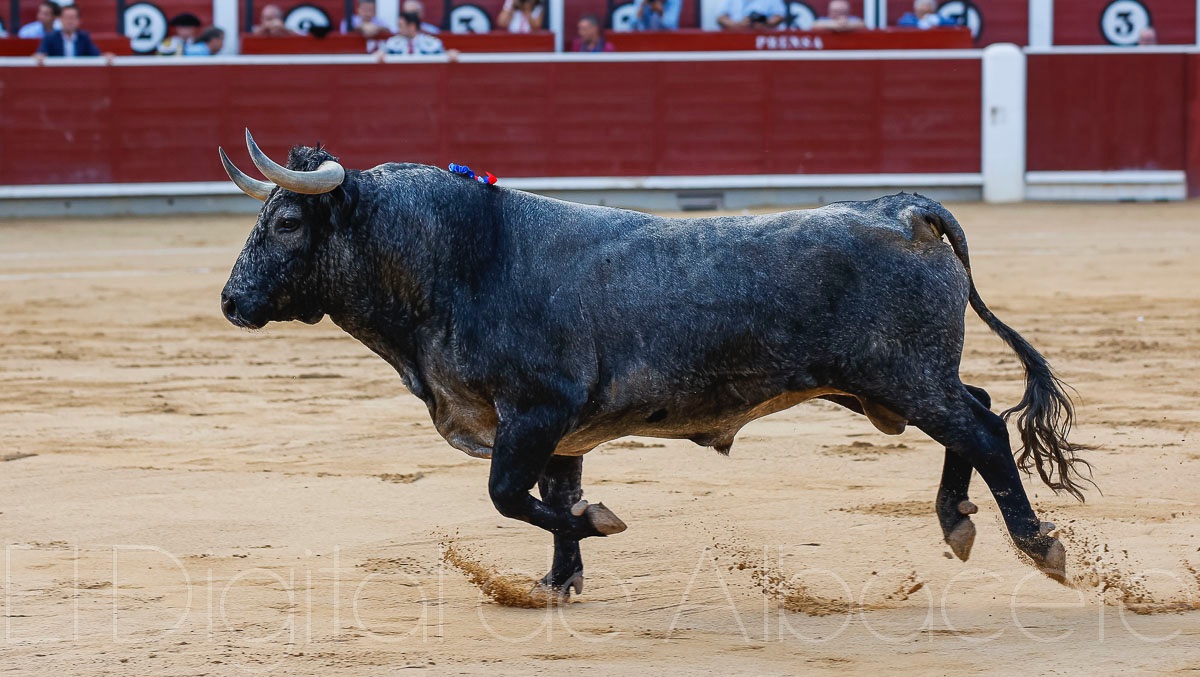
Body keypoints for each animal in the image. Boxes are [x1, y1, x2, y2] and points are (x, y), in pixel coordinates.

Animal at [218, 138, 1099, 597]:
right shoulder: (558, 432)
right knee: (974, 411)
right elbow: (552, 496)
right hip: (886, 383)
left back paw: (1035, 543)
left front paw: (597, 526)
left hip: (902, 375)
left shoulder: (533, 413)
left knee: (983, 428)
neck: (462, 258)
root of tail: (901, 207)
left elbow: (513, 497)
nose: (231, 299)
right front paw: (559, 582)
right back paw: (958, 521)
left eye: (288, 222)